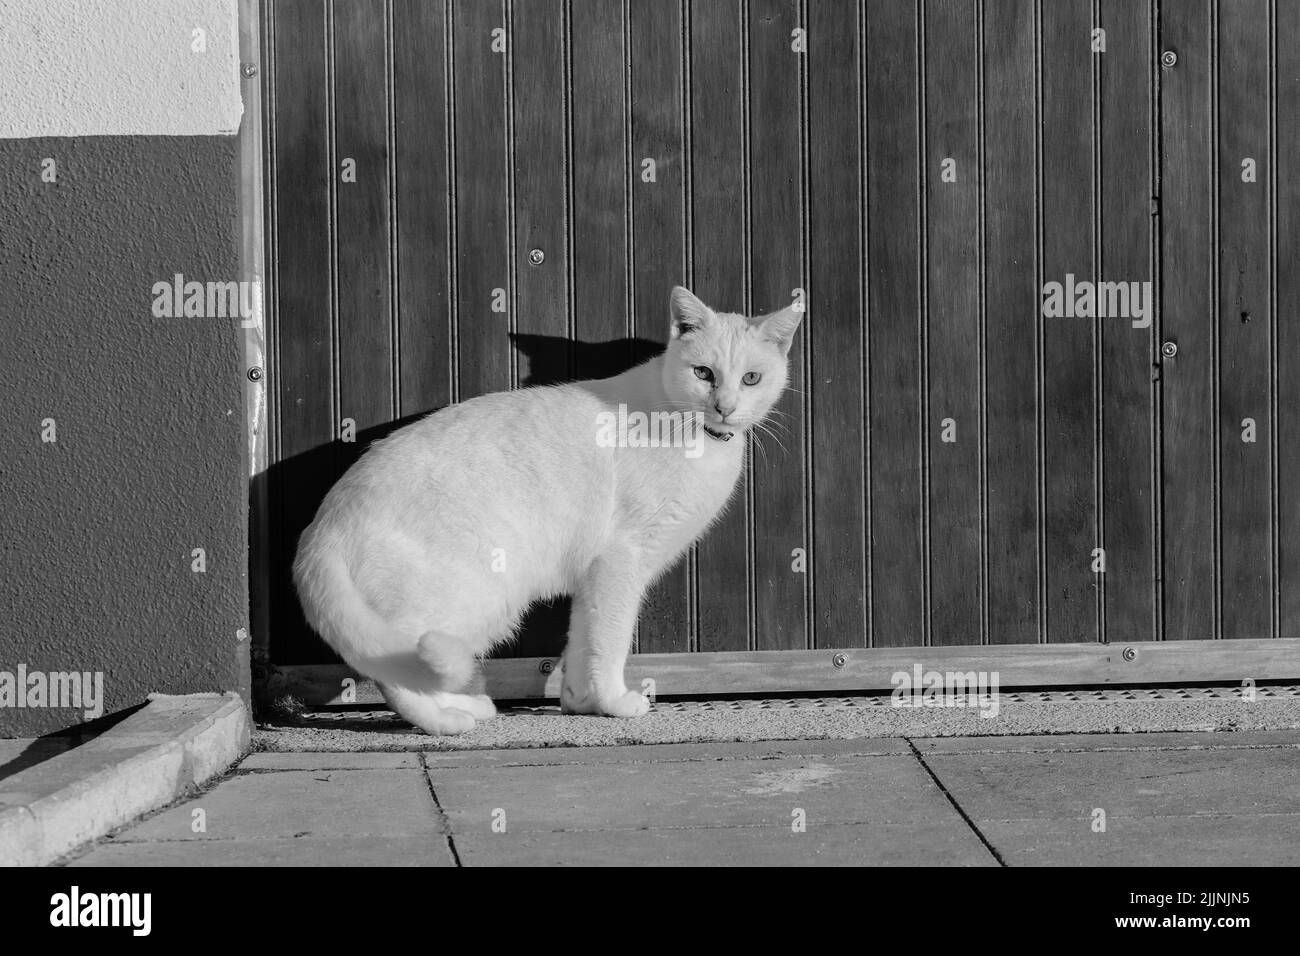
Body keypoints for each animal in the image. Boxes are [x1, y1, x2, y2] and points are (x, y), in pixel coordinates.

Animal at [295, 287, 800, 738]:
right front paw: (616, 702)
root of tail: (322, 526)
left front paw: (583, 703)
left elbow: (582, 642)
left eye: (751, 379)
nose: (725, 408)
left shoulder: (595, 577)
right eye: (703, 372)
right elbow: (610, 642)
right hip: (478, 594)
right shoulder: (621, 562)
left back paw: (466, 707)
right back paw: (446, 723)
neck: (691, 432)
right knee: (396, 671)